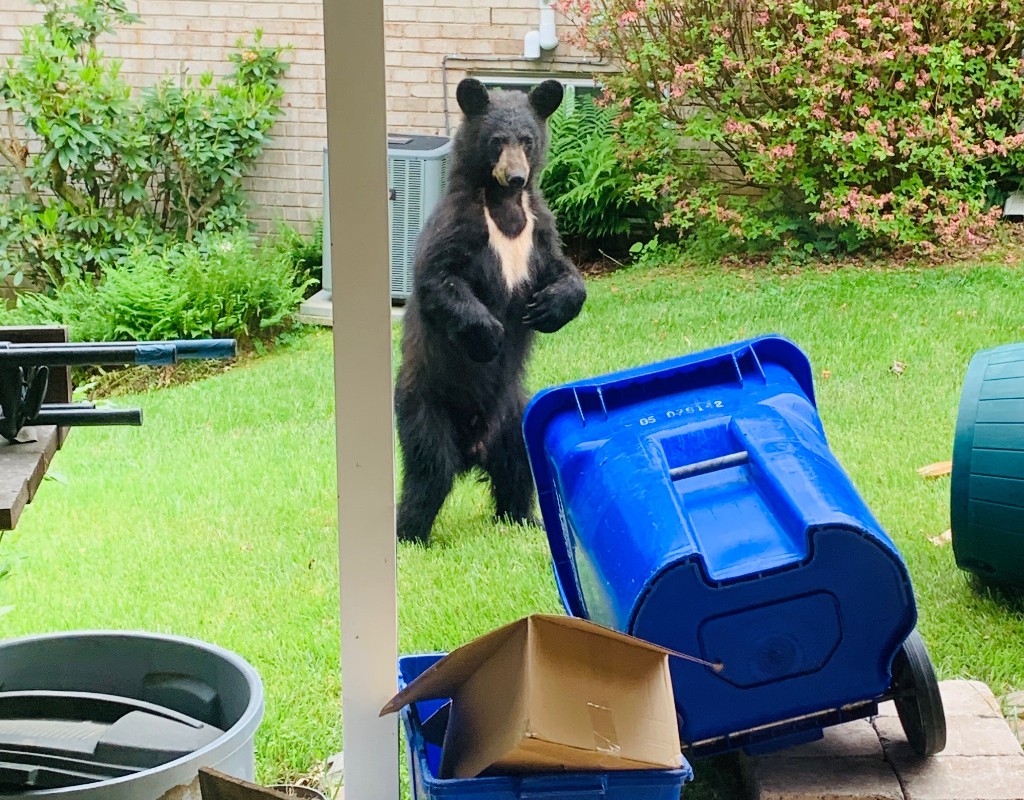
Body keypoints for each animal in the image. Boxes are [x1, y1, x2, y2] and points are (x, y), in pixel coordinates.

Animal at [391, 76, 585, 544]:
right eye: (497, 140)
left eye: (527, 140)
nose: (516, 176)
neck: (504, 208)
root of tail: (472, 451)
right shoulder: (459, 224)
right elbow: (438, 279)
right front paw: (490, 334)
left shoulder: (539, 229)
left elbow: (565, 270)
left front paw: (547, 307)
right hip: (425, 405)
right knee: (429, 472)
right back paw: (410, 534)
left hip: (514, 414)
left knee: (518, 465)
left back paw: (524, 518)